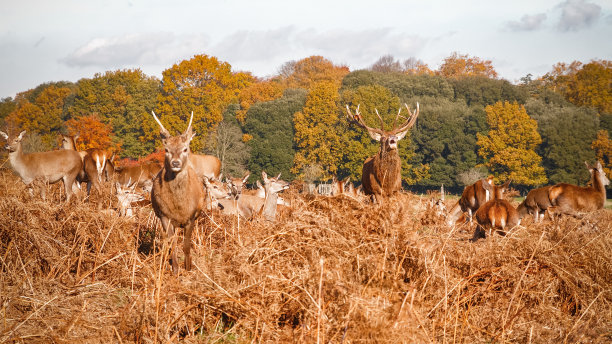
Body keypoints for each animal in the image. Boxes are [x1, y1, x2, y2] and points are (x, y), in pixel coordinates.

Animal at [150, 111, 206, 272]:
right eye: (166, 150)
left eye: (185, 149)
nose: (175, 163)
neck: (179, 207)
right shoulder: (164, 216)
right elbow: (172, 243)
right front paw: (175, 268)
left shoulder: (191, 217)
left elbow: (186, 244)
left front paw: (188, 267)